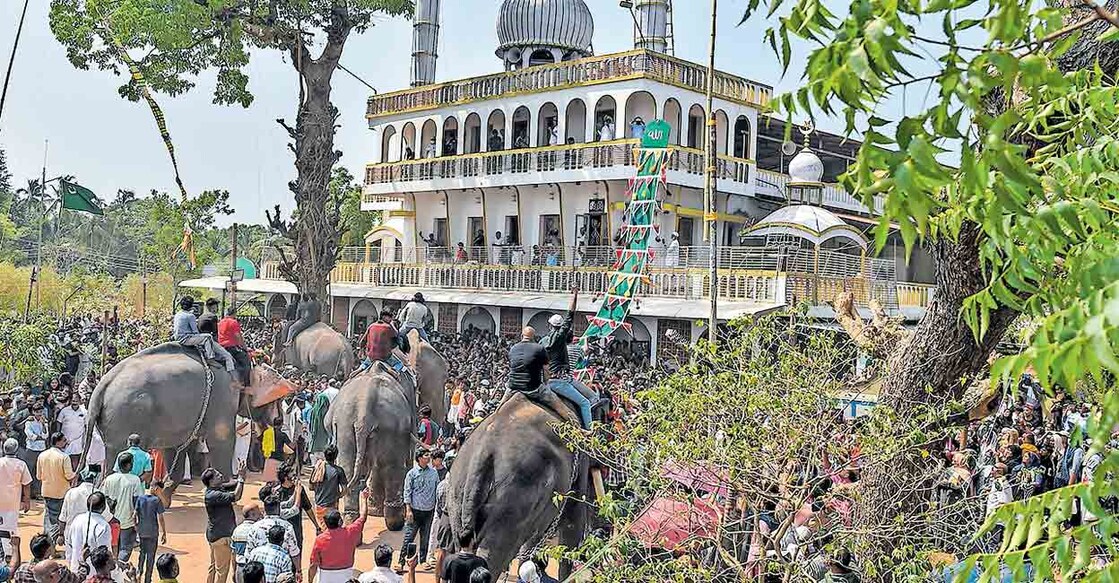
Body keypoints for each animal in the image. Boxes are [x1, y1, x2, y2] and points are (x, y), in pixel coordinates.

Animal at [81, 342, 295, 487]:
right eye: (276, 400)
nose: (279, 420)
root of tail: (102, 386)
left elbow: (174, 447)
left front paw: (165, 488)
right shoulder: (224, 398)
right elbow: (222, 440)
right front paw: (226, 485)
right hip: (127, 416)